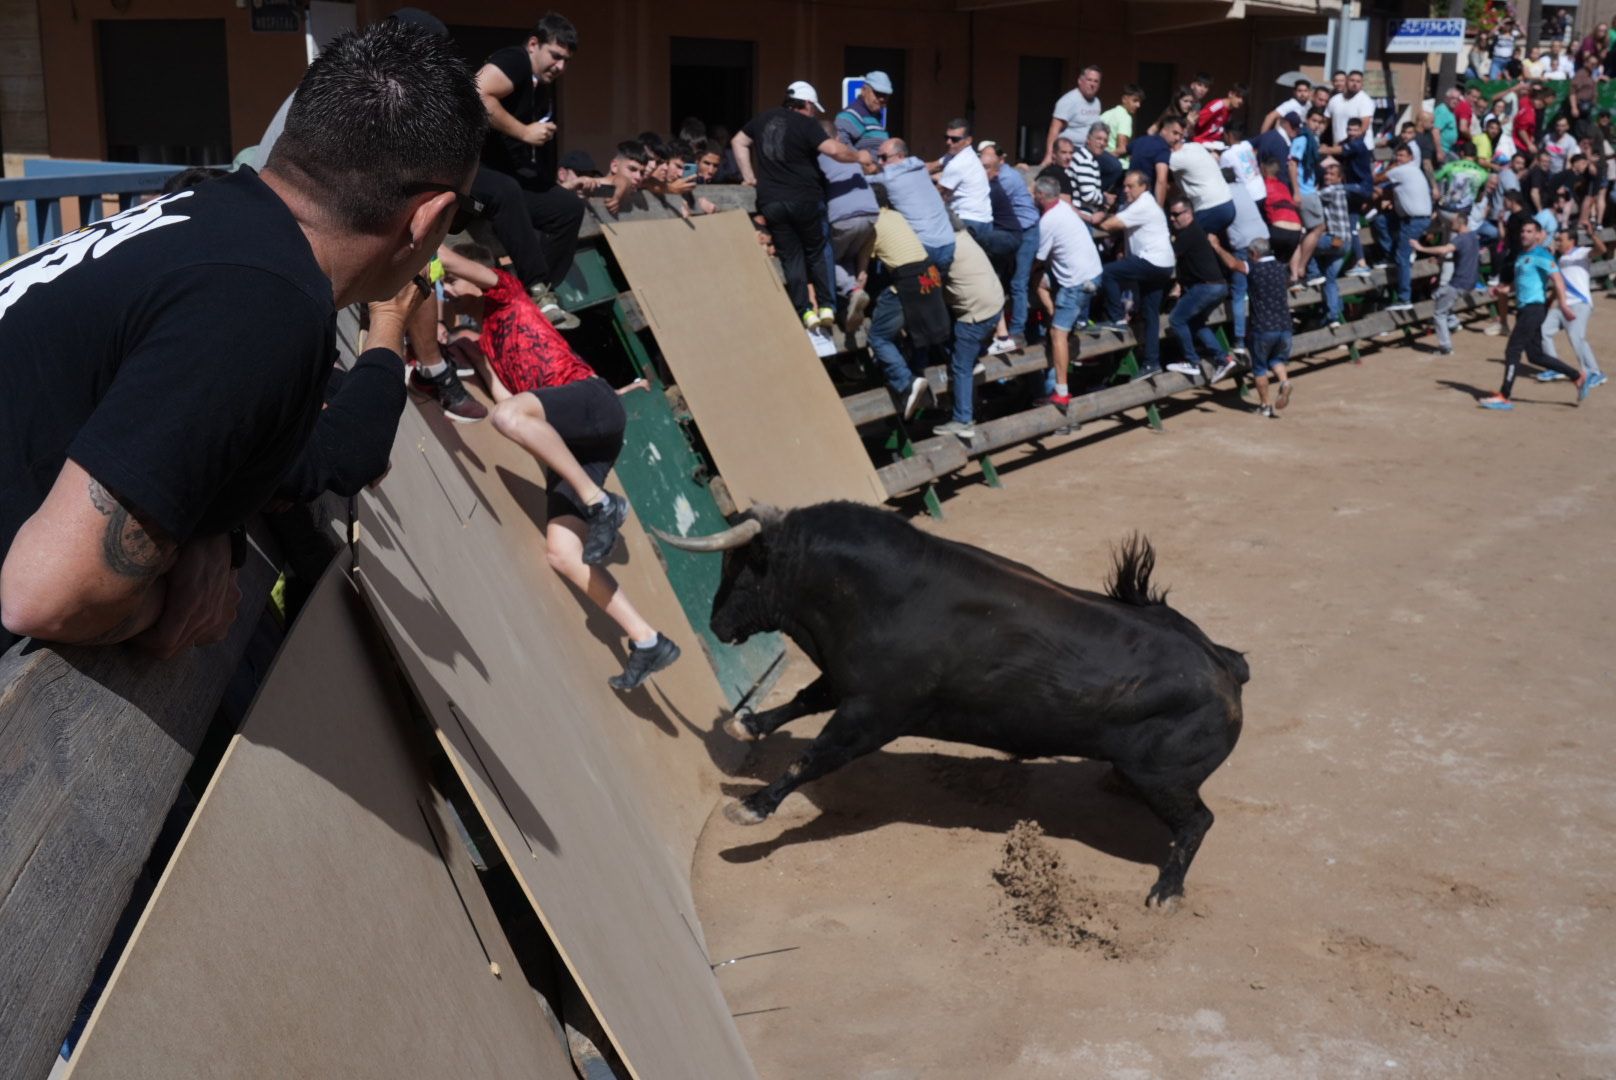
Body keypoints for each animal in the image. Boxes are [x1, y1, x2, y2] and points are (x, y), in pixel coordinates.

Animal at [656, 501, 1247, 905]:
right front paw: (748, 724)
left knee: (1197, 821)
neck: (875, 591)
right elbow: (807, 696)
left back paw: (1165, 891)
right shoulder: (851, 683)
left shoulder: (872, 715)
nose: (716, 624)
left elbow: (812, 757)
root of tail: (1225, 667)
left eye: (739, 568)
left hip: (1162, 778)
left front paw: (751, 808)